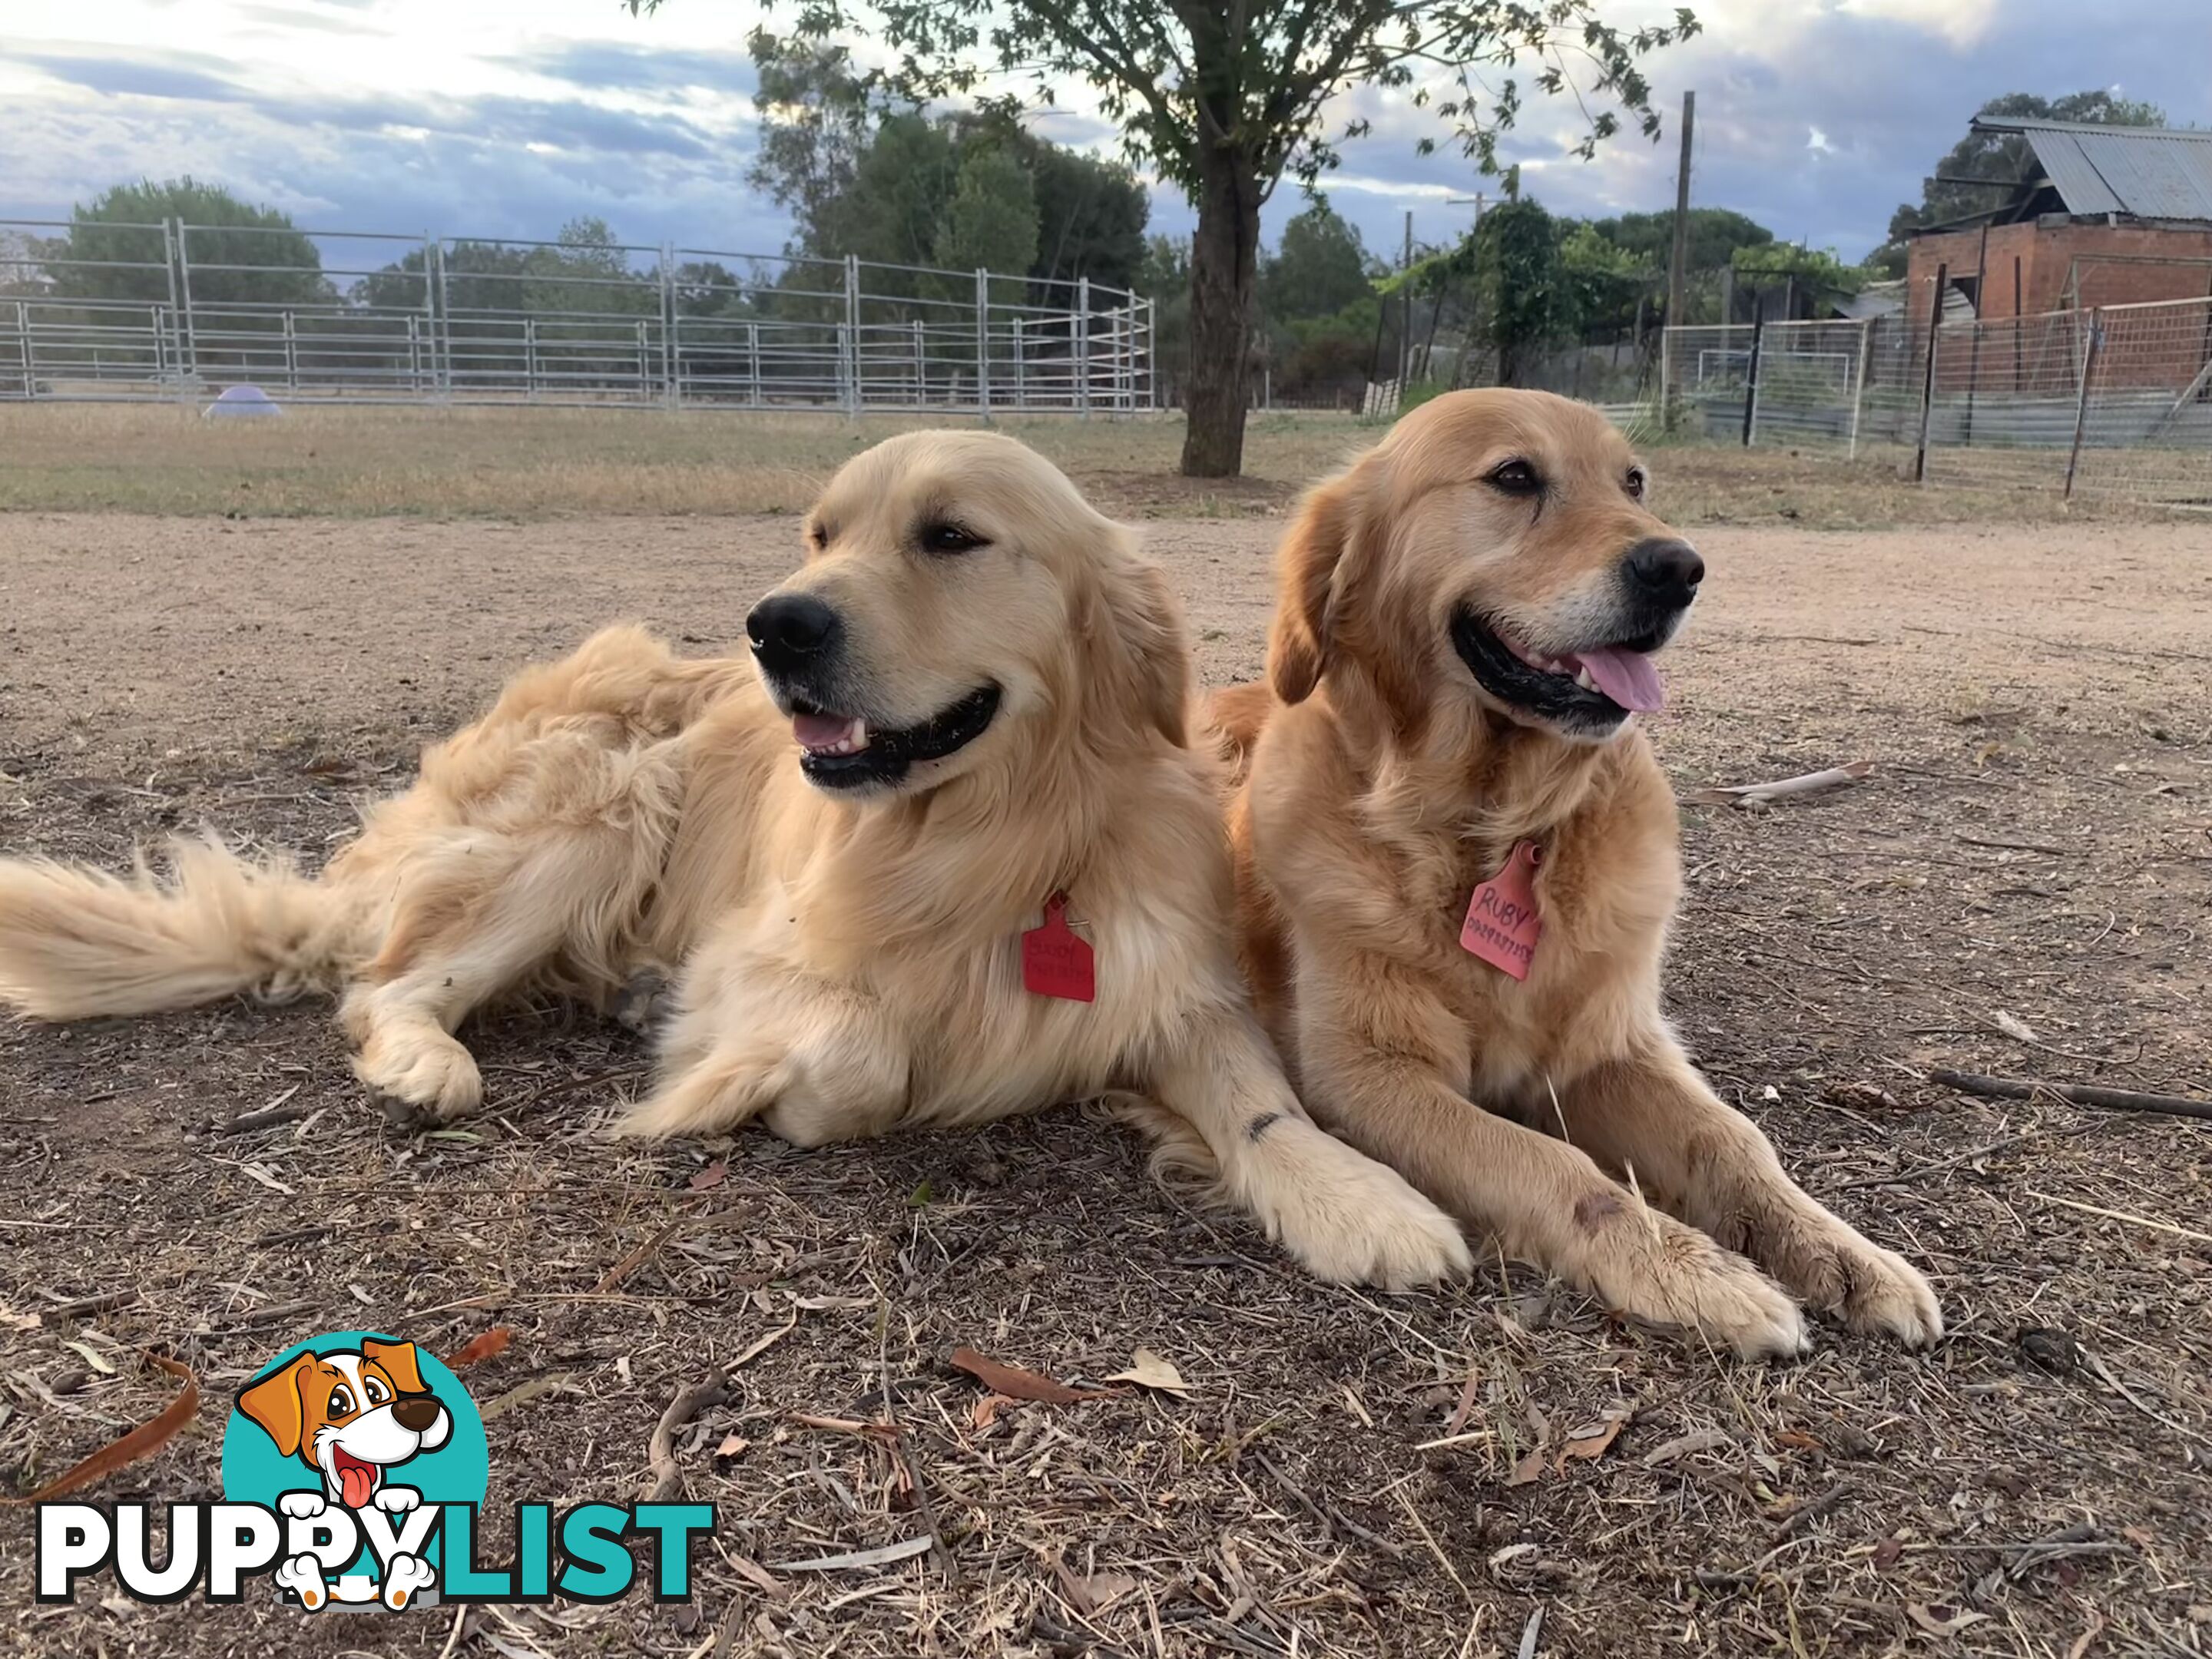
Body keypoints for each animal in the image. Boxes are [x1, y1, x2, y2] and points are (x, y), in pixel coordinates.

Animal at [4, 431, 1469, 1300]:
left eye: (952, 536)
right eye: (819, 535)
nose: (776, 626)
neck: (989, 842)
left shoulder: (1169, 985)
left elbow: (1265, 1105)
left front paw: (1362, 1200)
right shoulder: (765, 963)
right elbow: (867, 1056)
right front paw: (755, 1093)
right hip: (602, 810)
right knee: (386, 988)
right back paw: (434, 1061)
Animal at [1220, 396, 1946, 1353]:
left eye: (1634, 481)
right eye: (1514, 476)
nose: (1680, 568)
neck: (1494, 827)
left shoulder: (1609, 1047)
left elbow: (1733, 1139)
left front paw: (1837, 1248)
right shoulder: (1367, 1075)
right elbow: (1554, 1164)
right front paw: (1694, 1273)